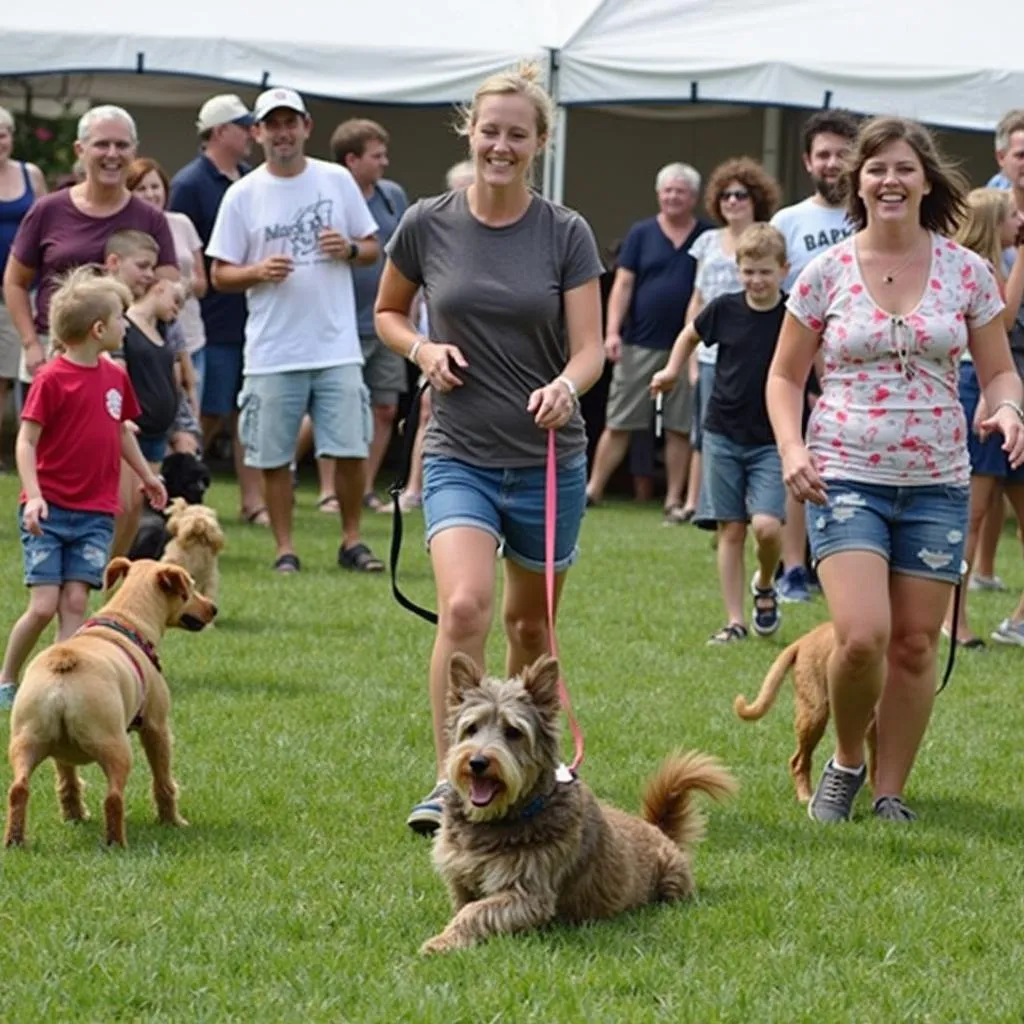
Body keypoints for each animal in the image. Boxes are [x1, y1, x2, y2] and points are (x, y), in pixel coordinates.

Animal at [4, 561, 217, 847]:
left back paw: (16, 840)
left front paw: (74, 816)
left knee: (19, 788)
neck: (125, 617)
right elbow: (163, 781)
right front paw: (172, 821)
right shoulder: (157, 727)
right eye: (191, 588)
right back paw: (116, 842)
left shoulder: (60, 752)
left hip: (27, 738)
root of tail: (64, 663)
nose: (213, 608)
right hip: (115, 744)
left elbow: (68, 781)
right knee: (113, 797)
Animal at [419, 651, 741, 954]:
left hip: (672, 878)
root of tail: (658, 830)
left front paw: (442, 941)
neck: (503, 817)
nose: (477, 762)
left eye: (513, 732)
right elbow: (464, 903)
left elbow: (475, 911)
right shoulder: (459, 875)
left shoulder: (529, 893)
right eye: (471, 728)